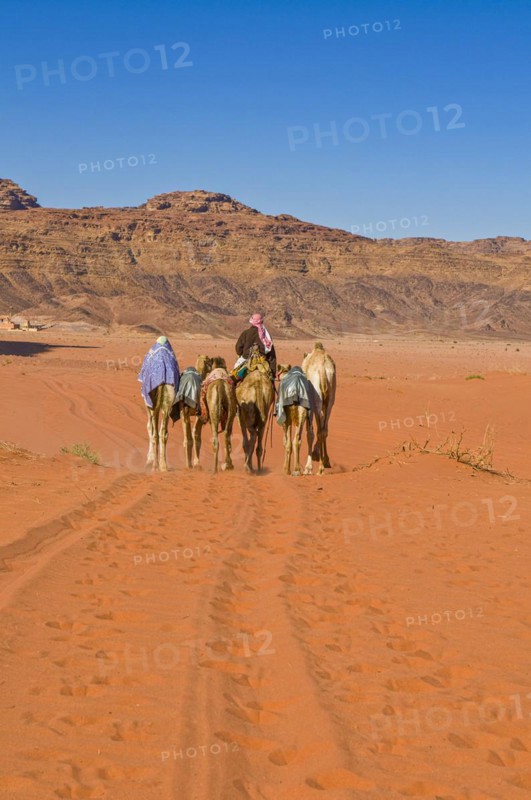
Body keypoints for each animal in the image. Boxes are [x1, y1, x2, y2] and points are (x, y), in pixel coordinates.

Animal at [302, 342, 336, 474]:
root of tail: (322, 369)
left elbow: (310, 432)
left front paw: (309, 465)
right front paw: (324, 459)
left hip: (316, 398)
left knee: (316, 431)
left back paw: (316, 467)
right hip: (330, 397)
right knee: (324, 429)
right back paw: (324, 462)